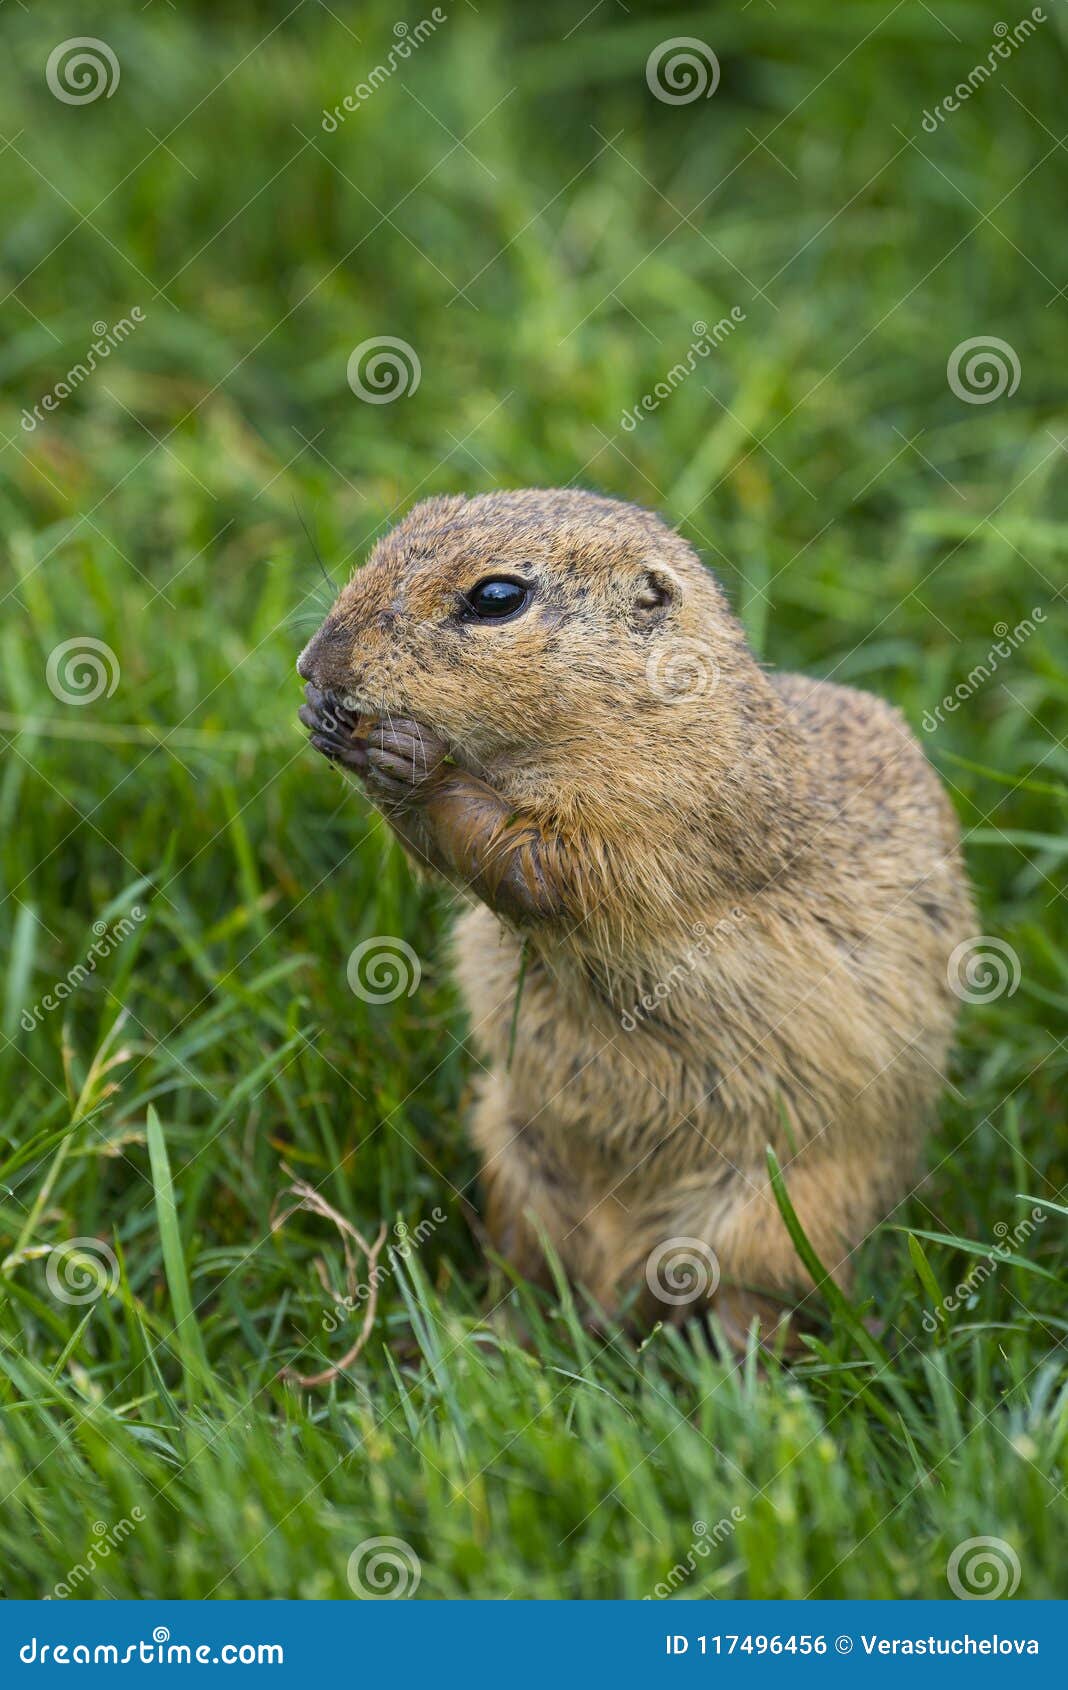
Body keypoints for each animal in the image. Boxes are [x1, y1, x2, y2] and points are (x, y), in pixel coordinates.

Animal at [298, 488, 974, 1348]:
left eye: (496, 597)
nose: (313, 665)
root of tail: (629, 1271)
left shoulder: (666, 810)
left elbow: (541, 862)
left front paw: (409, 760)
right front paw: (328, 723)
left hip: (786, 1214)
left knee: (760, 1303)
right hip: (514, 1150)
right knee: (531, 1261)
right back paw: (499, 1333)